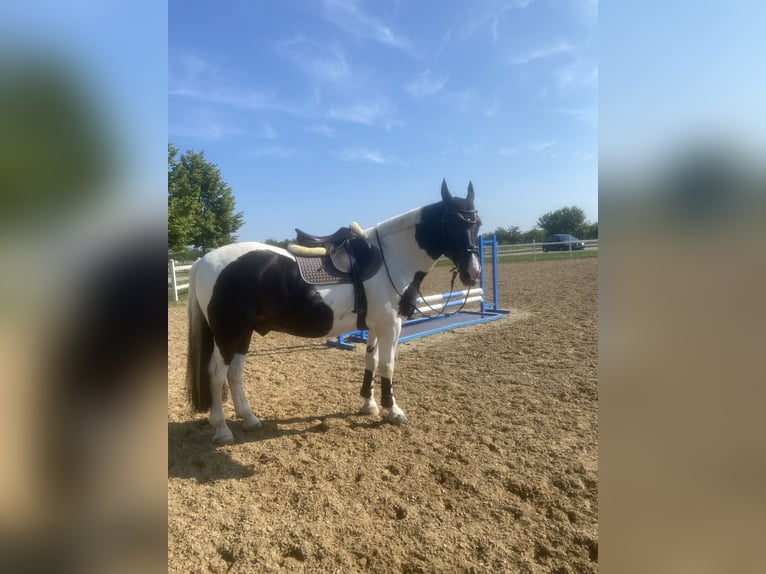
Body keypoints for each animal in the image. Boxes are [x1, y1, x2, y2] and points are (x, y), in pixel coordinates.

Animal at [187, 180, 484, 446]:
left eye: (477, 223)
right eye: (452, 223)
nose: (473, 273)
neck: (392, 258)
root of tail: (203, 261)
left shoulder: (375, 327)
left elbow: (371, 362)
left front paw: (368, 404)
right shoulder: (391, 326)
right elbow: (387, 365)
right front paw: (393, 410)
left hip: (244, 333)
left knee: (235, 373)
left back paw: (249, 418)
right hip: (228, 333)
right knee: (217, 373)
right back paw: (222, 428)